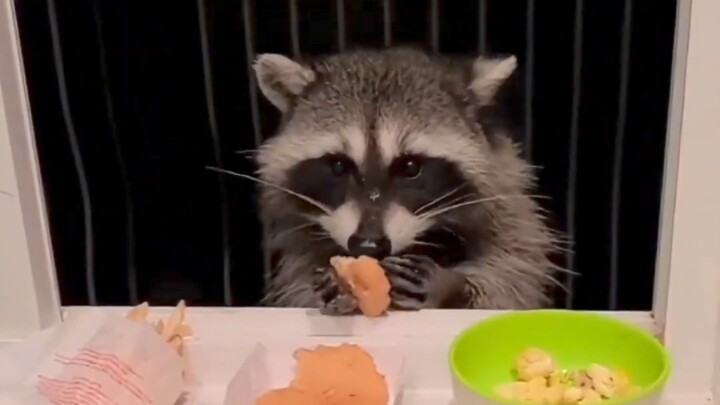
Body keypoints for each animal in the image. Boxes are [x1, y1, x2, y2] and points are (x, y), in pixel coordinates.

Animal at [248, 48, 563, 313]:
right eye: (338, 166)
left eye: (411, 167)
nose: (368, 246)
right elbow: (299, 282)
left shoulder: (507, 196)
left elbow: (513, 275)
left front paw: (452, 286)